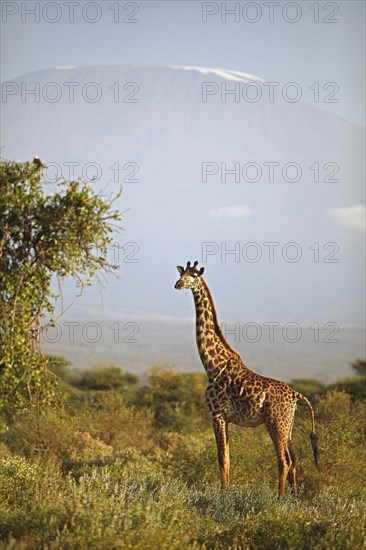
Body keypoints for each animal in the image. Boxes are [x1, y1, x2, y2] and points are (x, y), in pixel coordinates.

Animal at [174, 262, 318, 500]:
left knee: (284, 460)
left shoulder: (217, 414)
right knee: (294, 458)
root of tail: (296, 395)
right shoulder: (225, 418)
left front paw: (223, 495)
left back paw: (280, 499)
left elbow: (221, 459)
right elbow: (228, 459)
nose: (177, 284)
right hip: (288, 425)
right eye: (181, 273)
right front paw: (226, 492)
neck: (213, 365)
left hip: (275, 422)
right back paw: (294, 498)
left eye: (193, 276)